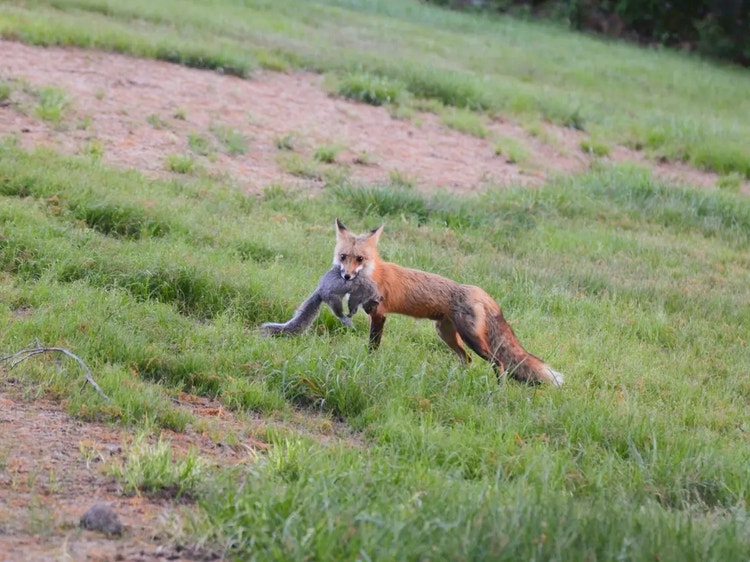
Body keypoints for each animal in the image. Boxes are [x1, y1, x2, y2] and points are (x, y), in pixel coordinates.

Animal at [334, 219, 564, 386]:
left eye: (360, 259)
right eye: (343, 256)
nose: (346, 276)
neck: (374, 273)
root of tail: (479, 291)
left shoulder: (379, 314)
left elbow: (373, 346)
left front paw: (368, 364)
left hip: (471, 338)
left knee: (498, 363)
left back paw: (498, 390)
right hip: (446, 334)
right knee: (467, 360)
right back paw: (458, 382)